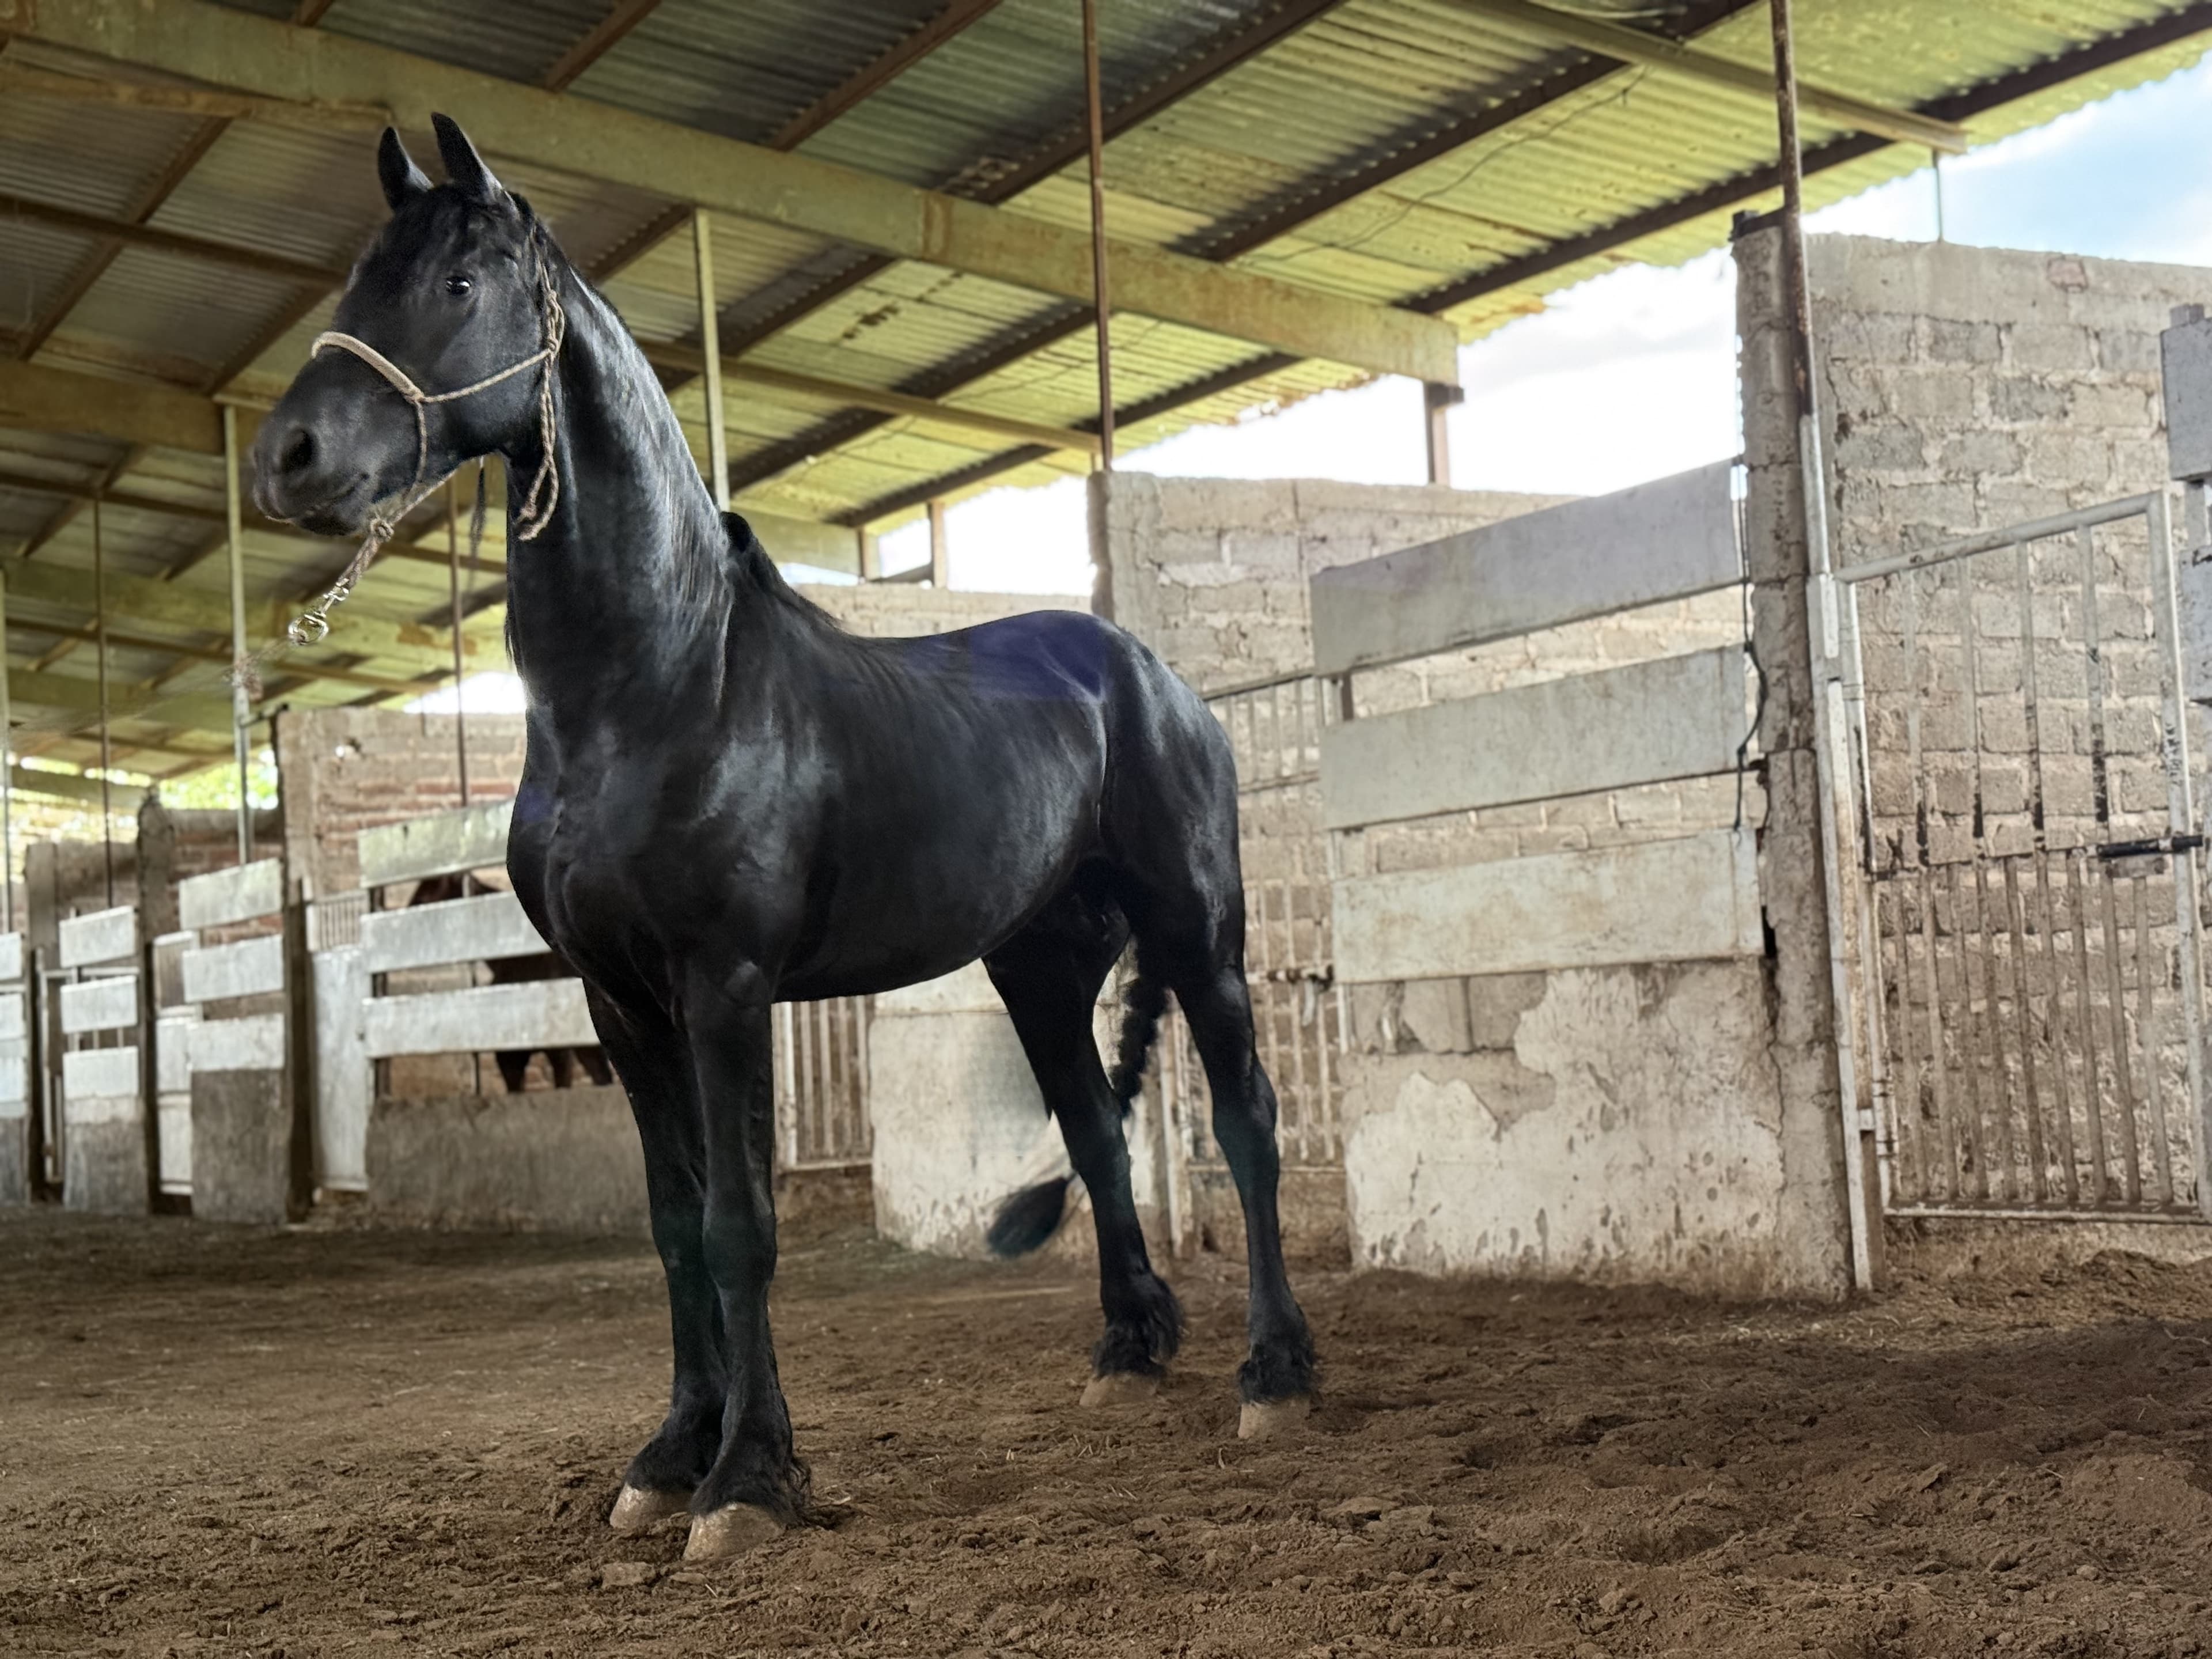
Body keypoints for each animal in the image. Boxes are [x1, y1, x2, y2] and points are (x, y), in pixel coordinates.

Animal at [251, 115, 1315, 1561]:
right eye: (360, 281)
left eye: (457, 285)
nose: (288, 458)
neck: (659, 686)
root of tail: (1149, 673)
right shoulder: (620, 1002)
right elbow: (673, 1223)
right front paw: (667, 1457)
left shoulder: (726, 986)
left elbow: (742, 1219)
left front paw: (747, 1479)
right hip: (1038, 966)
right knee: (1097, 1133)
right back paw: (1127, 1351)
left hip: (1199, 934)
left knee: (1248, 1122)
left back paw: (1276, 1375)